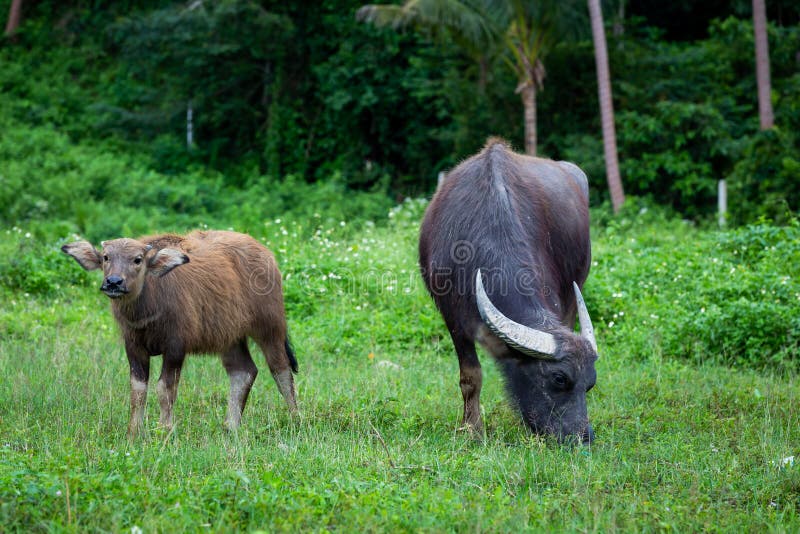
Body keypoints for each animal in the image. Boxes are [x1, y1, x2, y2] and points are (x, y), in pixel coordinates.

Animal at [62, 230, 298, 440]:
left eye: (138, 259)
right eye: (106, 257)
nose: (113, 282)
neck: (149, 309)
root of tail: (267, 255)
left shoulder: (176, 346)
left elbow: (165, 389)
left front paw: (164, 431)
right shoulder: (134, 346)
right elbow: (138, 390)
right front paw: (133, 434)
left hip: (271, 327)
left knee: (281, 370)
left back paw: (295, 419)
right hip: (230, 337)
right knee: (243, 371)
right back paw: (231, 427)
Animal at [418, 137, 600, 444]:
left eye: (590, 384)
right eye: (559, 378)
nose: (582, 437)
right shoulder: (453, 317)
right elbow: (470, 376)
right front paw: (472, 429)